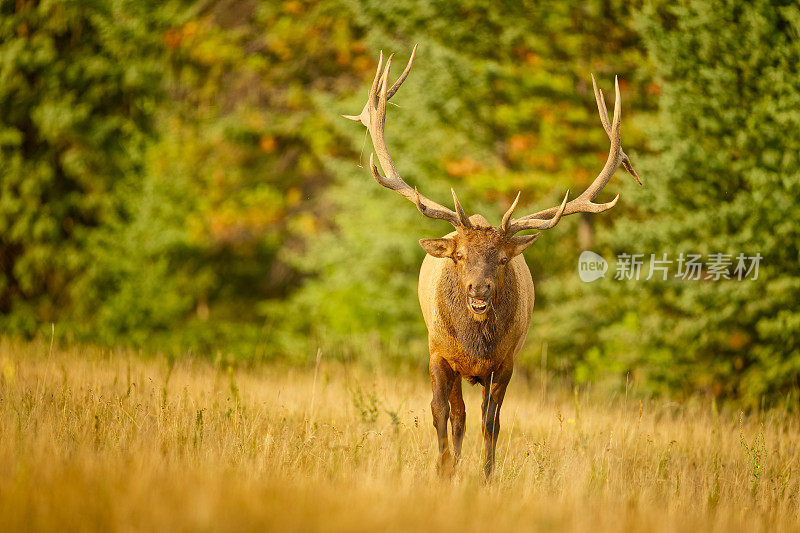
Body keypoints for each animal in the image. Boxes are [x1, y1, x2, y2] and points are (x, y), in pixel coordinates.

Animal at [340, 47, 640, 476]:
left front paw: (486, 476)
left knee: (478, 416)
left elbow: (491, 424)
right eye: (460, 255)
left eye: (501, 259)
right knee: (458, 414)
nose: (478, 290)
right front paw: (443, 470)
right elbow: (440, 414)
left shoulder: (506, 362)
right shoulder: (438, 353)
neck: (475, 344)